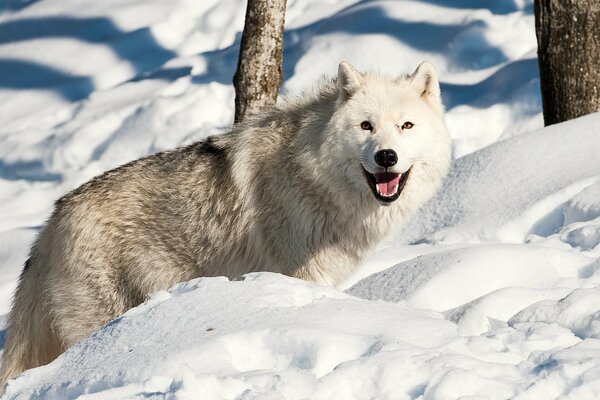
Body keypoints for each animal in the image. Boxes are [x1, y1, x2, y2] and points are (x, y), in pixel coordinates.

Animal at [0, 60, 450, 388]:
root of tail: (52, 220)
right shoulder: (303, 276)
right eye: (366, 126)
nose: (387, 157)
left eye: (406, 126)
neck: (312, 173)